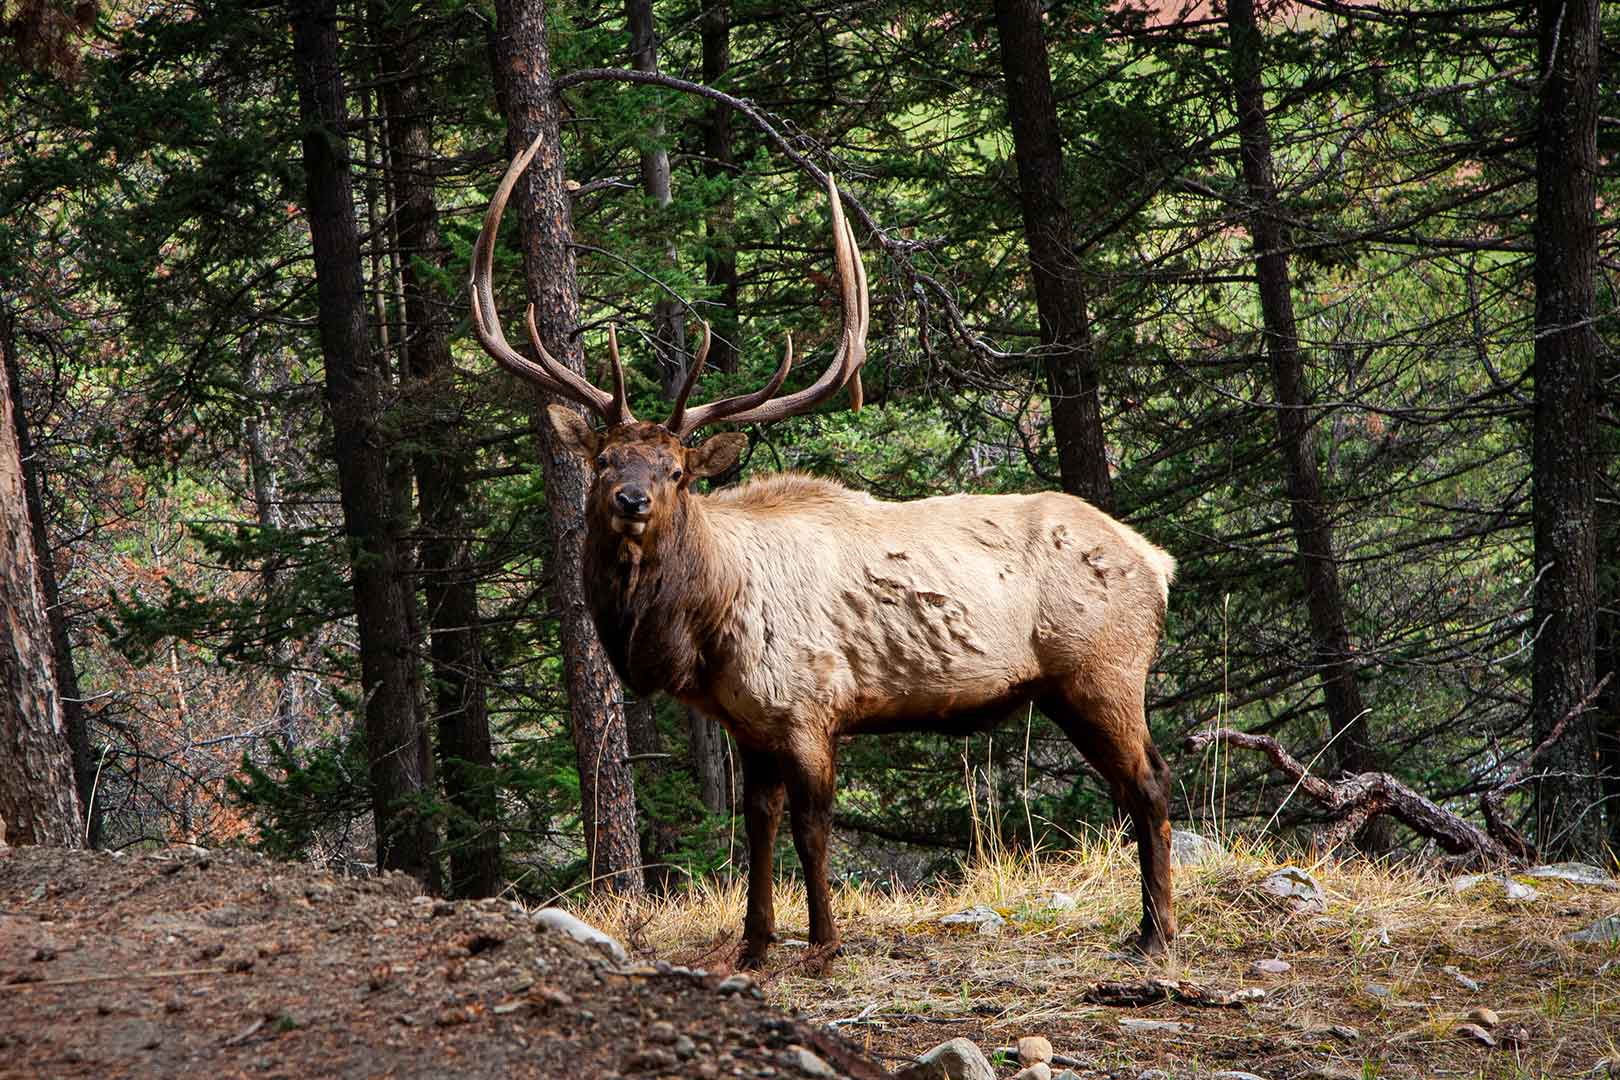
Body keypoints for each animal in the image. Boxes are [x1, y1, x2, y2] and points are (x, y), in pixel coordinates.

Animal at [469, 135, 1179, 965]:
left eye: (677, 471)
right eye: (605, 460)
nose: (632, 501)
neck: (702, 627)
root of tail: (1158, 562)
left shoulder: (810, 707)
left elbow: (812, 828)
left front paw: (823, 943)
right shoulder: (747, 723)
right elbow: (757, 825)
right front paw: (754, 944)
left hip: (1103, 670)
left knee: (1150, 783)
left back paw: (1155, 933)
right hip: (1073, 687)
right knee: (1138, 785)